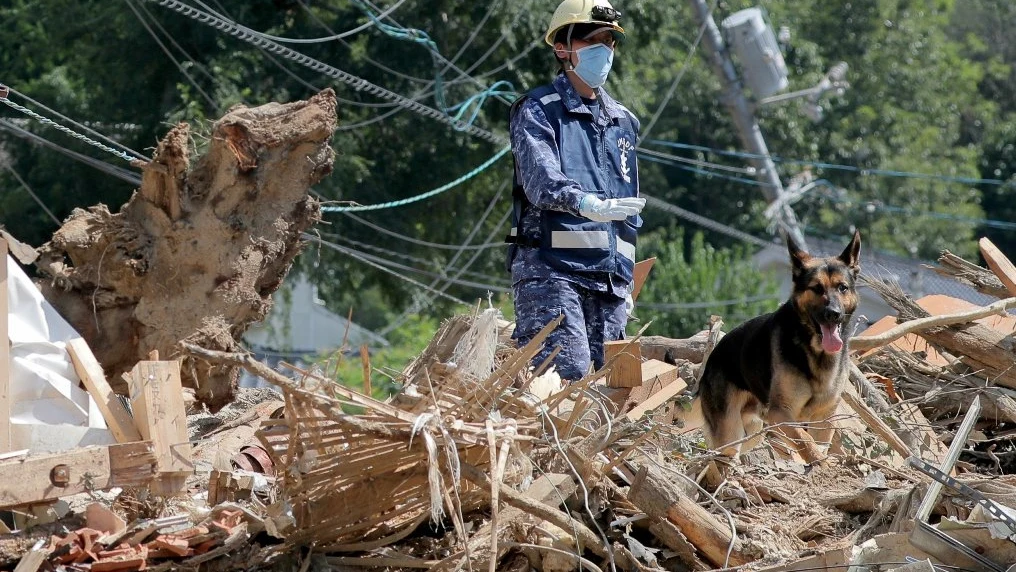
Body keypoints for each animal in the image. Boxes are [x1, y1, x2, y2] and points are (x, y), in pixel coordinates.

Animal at [703, 230, 861, 463]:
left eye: (842, 288)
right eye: (816, 288)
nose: (833, 313)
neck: (815, 351)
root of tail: (712, 356)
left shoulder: (824, 416)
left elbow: (817, 443)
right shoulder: (781, 413)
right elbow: (804, 438)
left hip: (752, 431)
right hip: (730, 431)